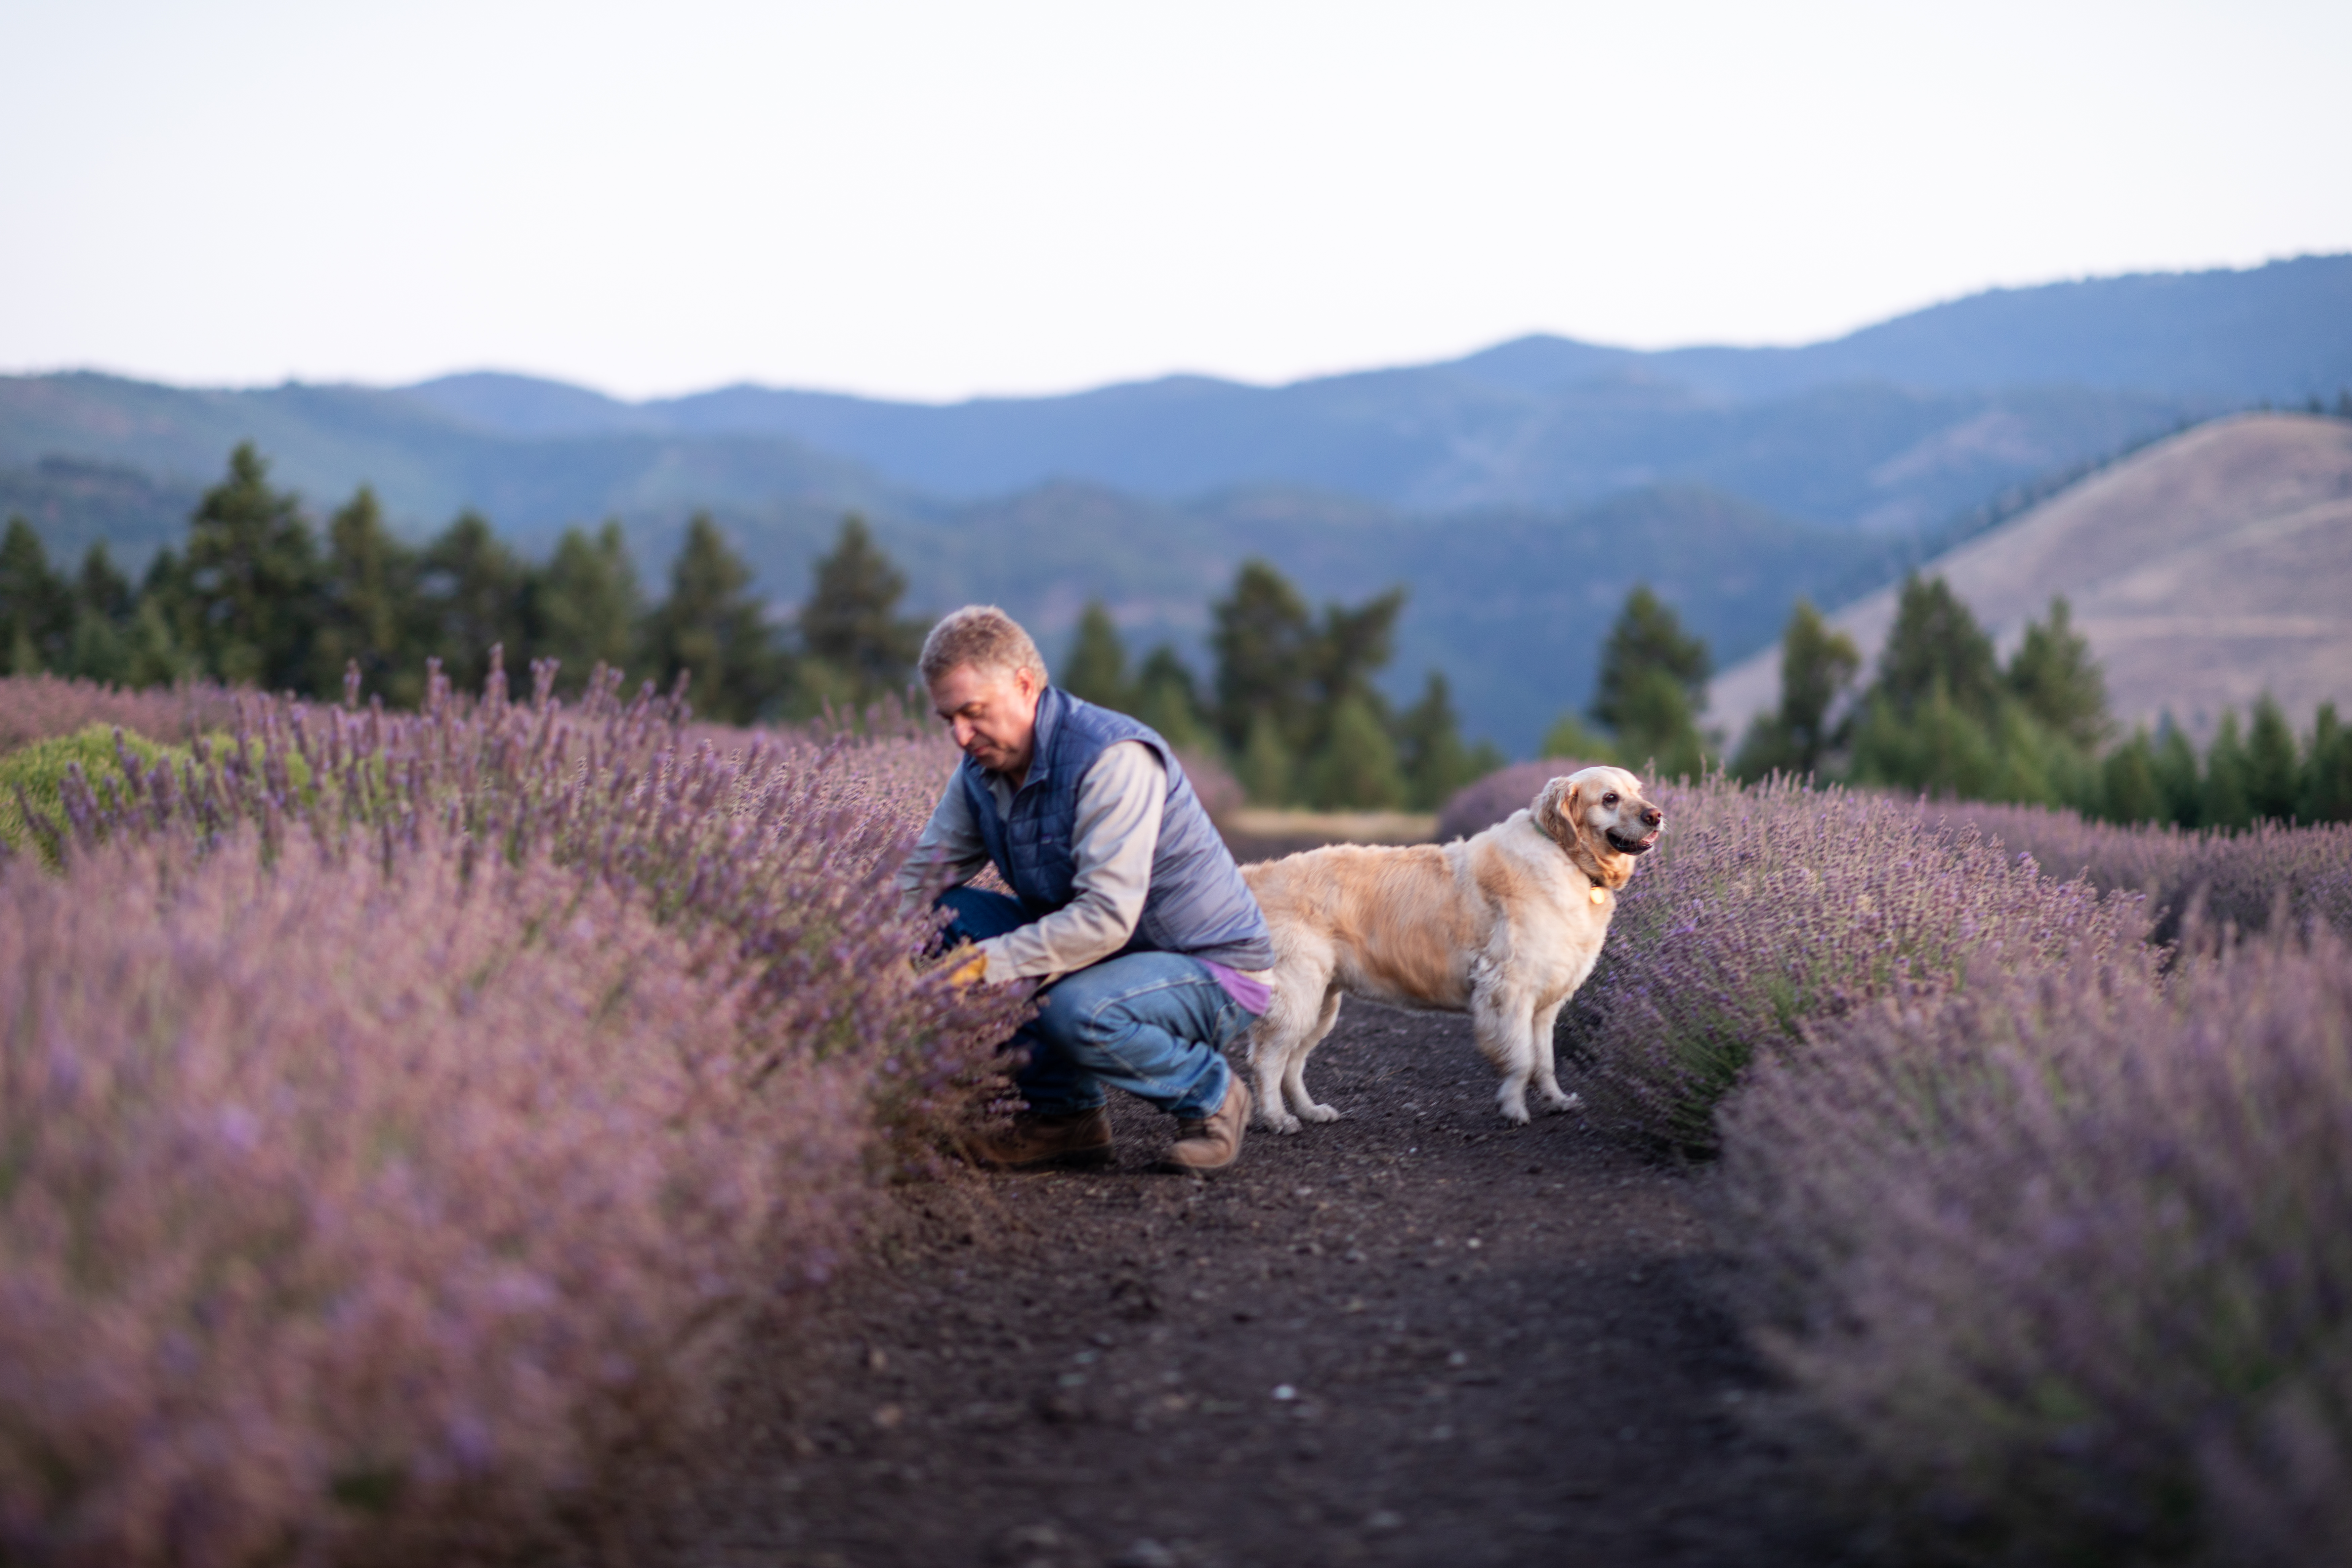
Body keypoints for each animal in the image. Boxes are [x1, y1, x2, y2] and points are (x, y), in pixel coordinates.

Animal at [1242, 771, 1665, 1128]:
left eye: (1638, 790)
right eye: (1610, 798)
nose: (1656, 815)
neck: (1565, 855)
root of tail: (1256, 874)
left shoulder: (1545, 1003)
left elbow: (1544, 1061)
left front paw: (1557, 1100)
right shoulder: (1508, 987)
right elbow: (1522, 1059)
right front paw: (1513, 1107)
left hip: (1321, 1004)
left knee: (1292, 1064)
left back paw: (1310, 1111)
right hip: (1297, 996)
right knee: (1267, 1061)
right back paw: (1278, 1119)